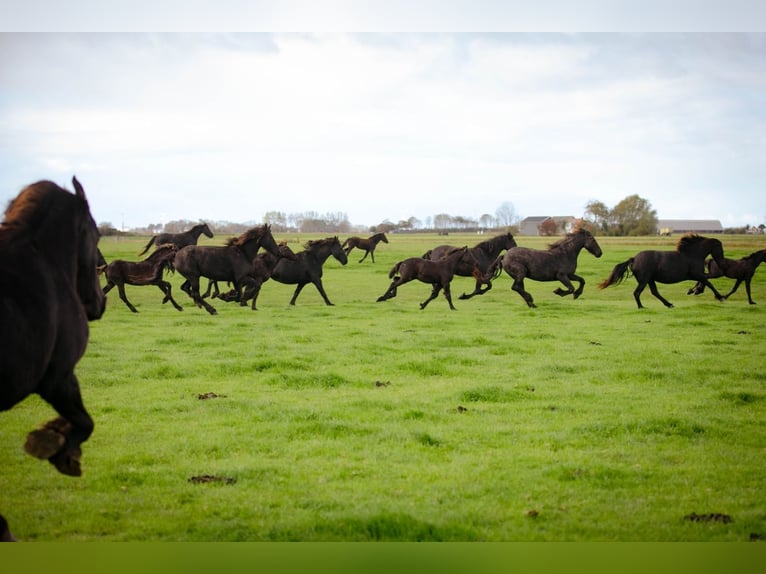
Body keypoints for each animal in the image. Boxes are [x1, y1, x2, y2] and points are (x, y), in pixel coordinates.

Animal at [598, 234, 727, 309]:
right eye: (719, 247)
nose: (721, 261)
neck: (693, 255)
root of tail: (633, 259)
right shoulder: (696, 274)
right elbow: (708, 282)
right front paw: (720, 297)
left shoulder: (697, 275)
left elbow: (706, 281)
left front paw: (694, 290)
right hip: (644, 280)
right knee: (637, 292)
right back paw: (642, 307)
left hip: (650, 280)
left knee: (654, 292)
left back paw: (669, 304)